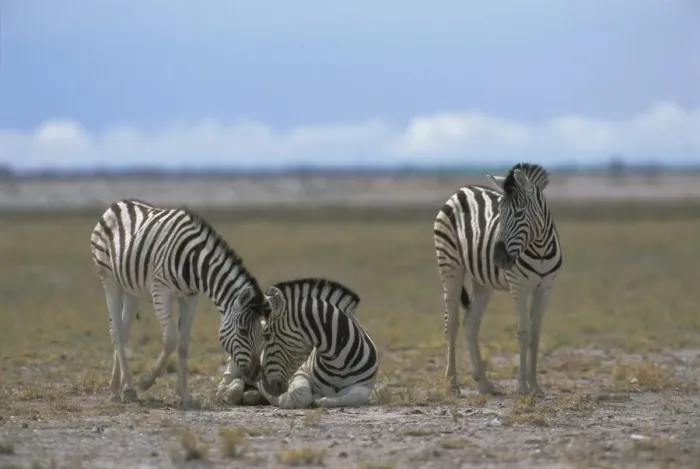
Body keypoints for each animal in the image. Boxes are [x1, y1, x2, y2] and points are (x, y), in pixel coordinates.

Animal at [90, 198, 269, 406]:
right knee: (117, 332)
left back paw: (119, 389)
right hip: (109, 278)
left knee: (121, 330)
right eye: (243, 331)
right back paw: (126, 390)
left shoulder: (190, 297)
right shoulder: (160, 290)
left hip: (129, 290)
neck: (194, 263)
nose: (256, 374)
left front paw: (185, 394)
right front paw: (145, 381)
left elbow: (183, 344)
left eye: (262, 334)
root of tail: (118, 203)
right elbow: (170, 339)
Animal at [216, 277, 361, 406]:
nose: (266, 384)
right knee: (223, 387)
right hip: (237, 362)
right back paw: (236, 389)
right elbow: (302, 394)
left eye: (267, 336)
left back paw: (251, 394)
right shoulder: (297, 371)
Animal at [255, 279, 378, 409]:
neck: (338, 365)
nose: (265, 385)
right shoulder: (298, 371)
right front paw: (285, 399)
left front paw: (322, 400)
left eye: (267, 335)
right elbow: (303, 395)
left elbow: (356, 396)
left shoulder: (364, 386)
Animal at [433, 162, 562, 397]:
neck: (539, 248)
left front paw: (536, 386)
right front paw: (523, 387)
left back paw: (484, 383)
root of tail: (462, 190)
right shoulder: (518, 286)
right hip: (450, 265)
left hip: (482, 283)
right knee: (451, 322)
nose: (498, 258)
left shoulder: (546, 288)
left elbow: (536, 333)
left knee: (470, 323)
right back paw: (453, 383)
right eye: (499, 214)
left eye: (519, 213)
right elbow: (523, 331)